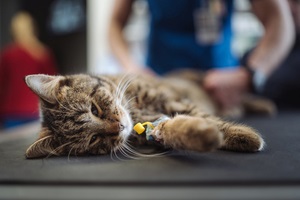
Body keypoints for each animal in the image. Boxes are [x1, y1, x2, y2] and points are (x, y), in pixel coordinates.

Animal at [24, 71, 272, 159]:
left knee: (241, 96)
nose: (120, 127)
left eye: (94, 109)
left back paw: (260, 104)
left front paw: (242, 135)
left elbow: (206, 117)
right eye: (94, 139)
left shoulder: (172, 99)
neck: (136, 109)